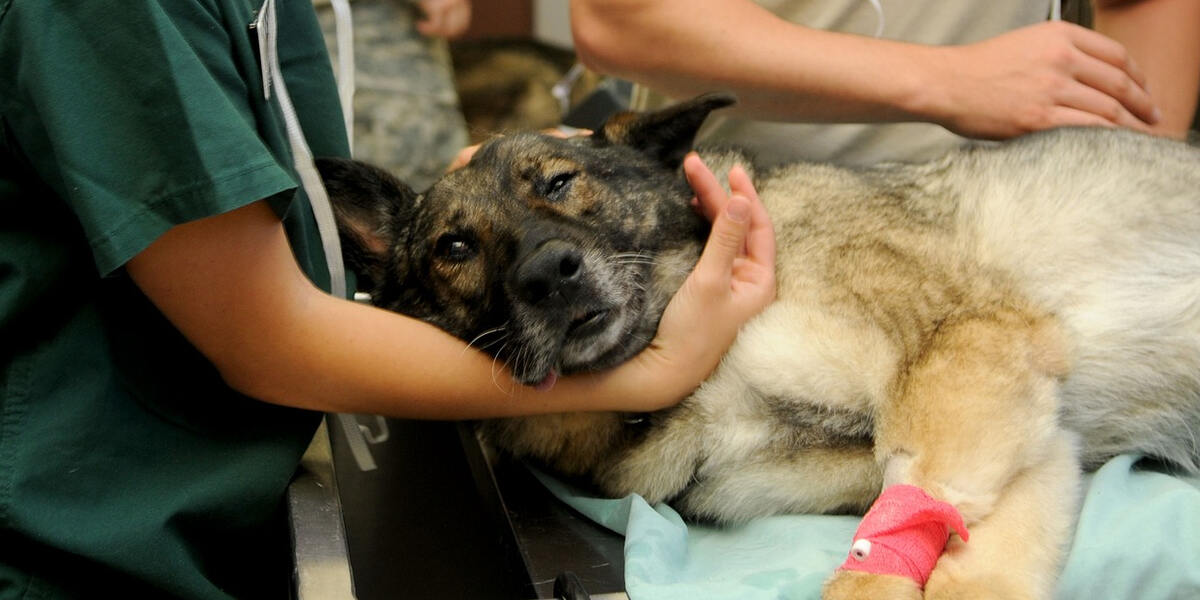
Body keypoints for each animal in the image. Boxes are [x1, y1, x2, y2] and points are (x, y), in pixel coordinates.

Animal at [319, 94, 1200, 600]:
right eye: (454, 247)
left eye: (561, 181)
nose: (548, 274)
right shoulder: (1030, 440)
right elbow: (948, 544)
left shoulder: (970, 355)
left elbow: (901, 546)